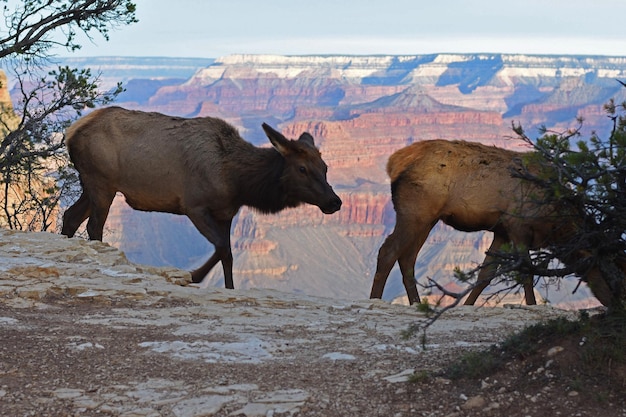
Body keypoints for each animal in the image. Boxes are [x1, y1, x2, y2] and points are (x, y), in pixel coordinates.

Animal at [61, 107, 338, 288]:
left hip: (91, 184)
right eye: (302, 168)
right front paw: (193, 275)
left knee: (70, 216)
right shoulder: (194, 205)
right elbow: (222, 247)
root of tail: (70, 132)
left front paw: (229, 288)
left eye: (325, 167)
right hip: (101, 182)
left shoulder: (226, 213)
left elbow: (228, 255)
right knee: (94, 226)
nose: (335, 201)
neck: (237, 181)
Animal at [370, 139, 616, 306]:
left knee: (407, 258)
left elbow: (485, 274)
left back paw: (416, 303)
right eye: (613, 270)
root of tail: (394, 163)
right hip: (414, 213)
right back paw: (375, 300)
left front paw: (466, 305)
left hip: (427, 219)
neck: (554, 225)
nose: (617, 302)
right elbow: (526, 272)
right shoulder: (517, 226)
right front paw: (532, 305)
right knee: (388, 251)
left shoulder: (502, 232)